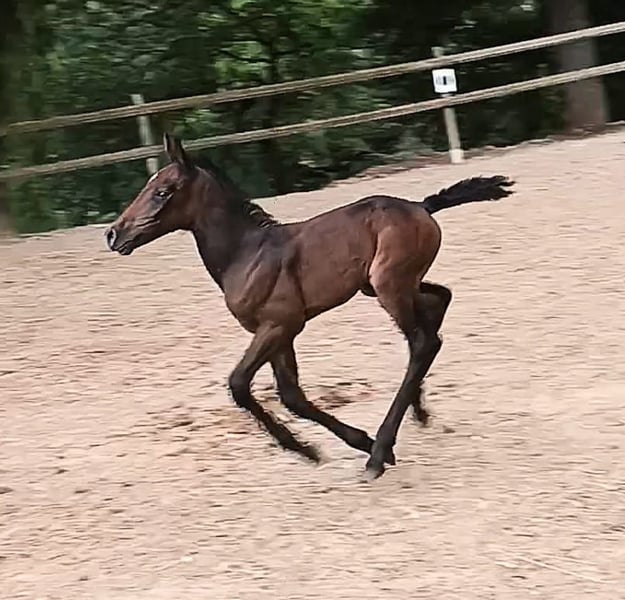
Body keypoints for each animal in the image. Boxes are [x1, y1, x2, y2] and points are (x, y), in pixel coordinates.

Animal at [105, 133, 514, 480]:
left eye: (162, 192)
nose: (113, 234)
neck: (246, 253)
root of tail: (421, 206)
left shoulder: (279, 325)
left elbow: (240, 384)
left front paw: (314, 449)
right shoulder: (276, 333)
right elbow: (292, 396)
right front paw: (330, 447)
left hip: (389, 285)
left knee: (423, 341)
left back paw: (380, 452)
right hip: (382, 286)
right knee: (436, 307)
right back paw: (417, 414)